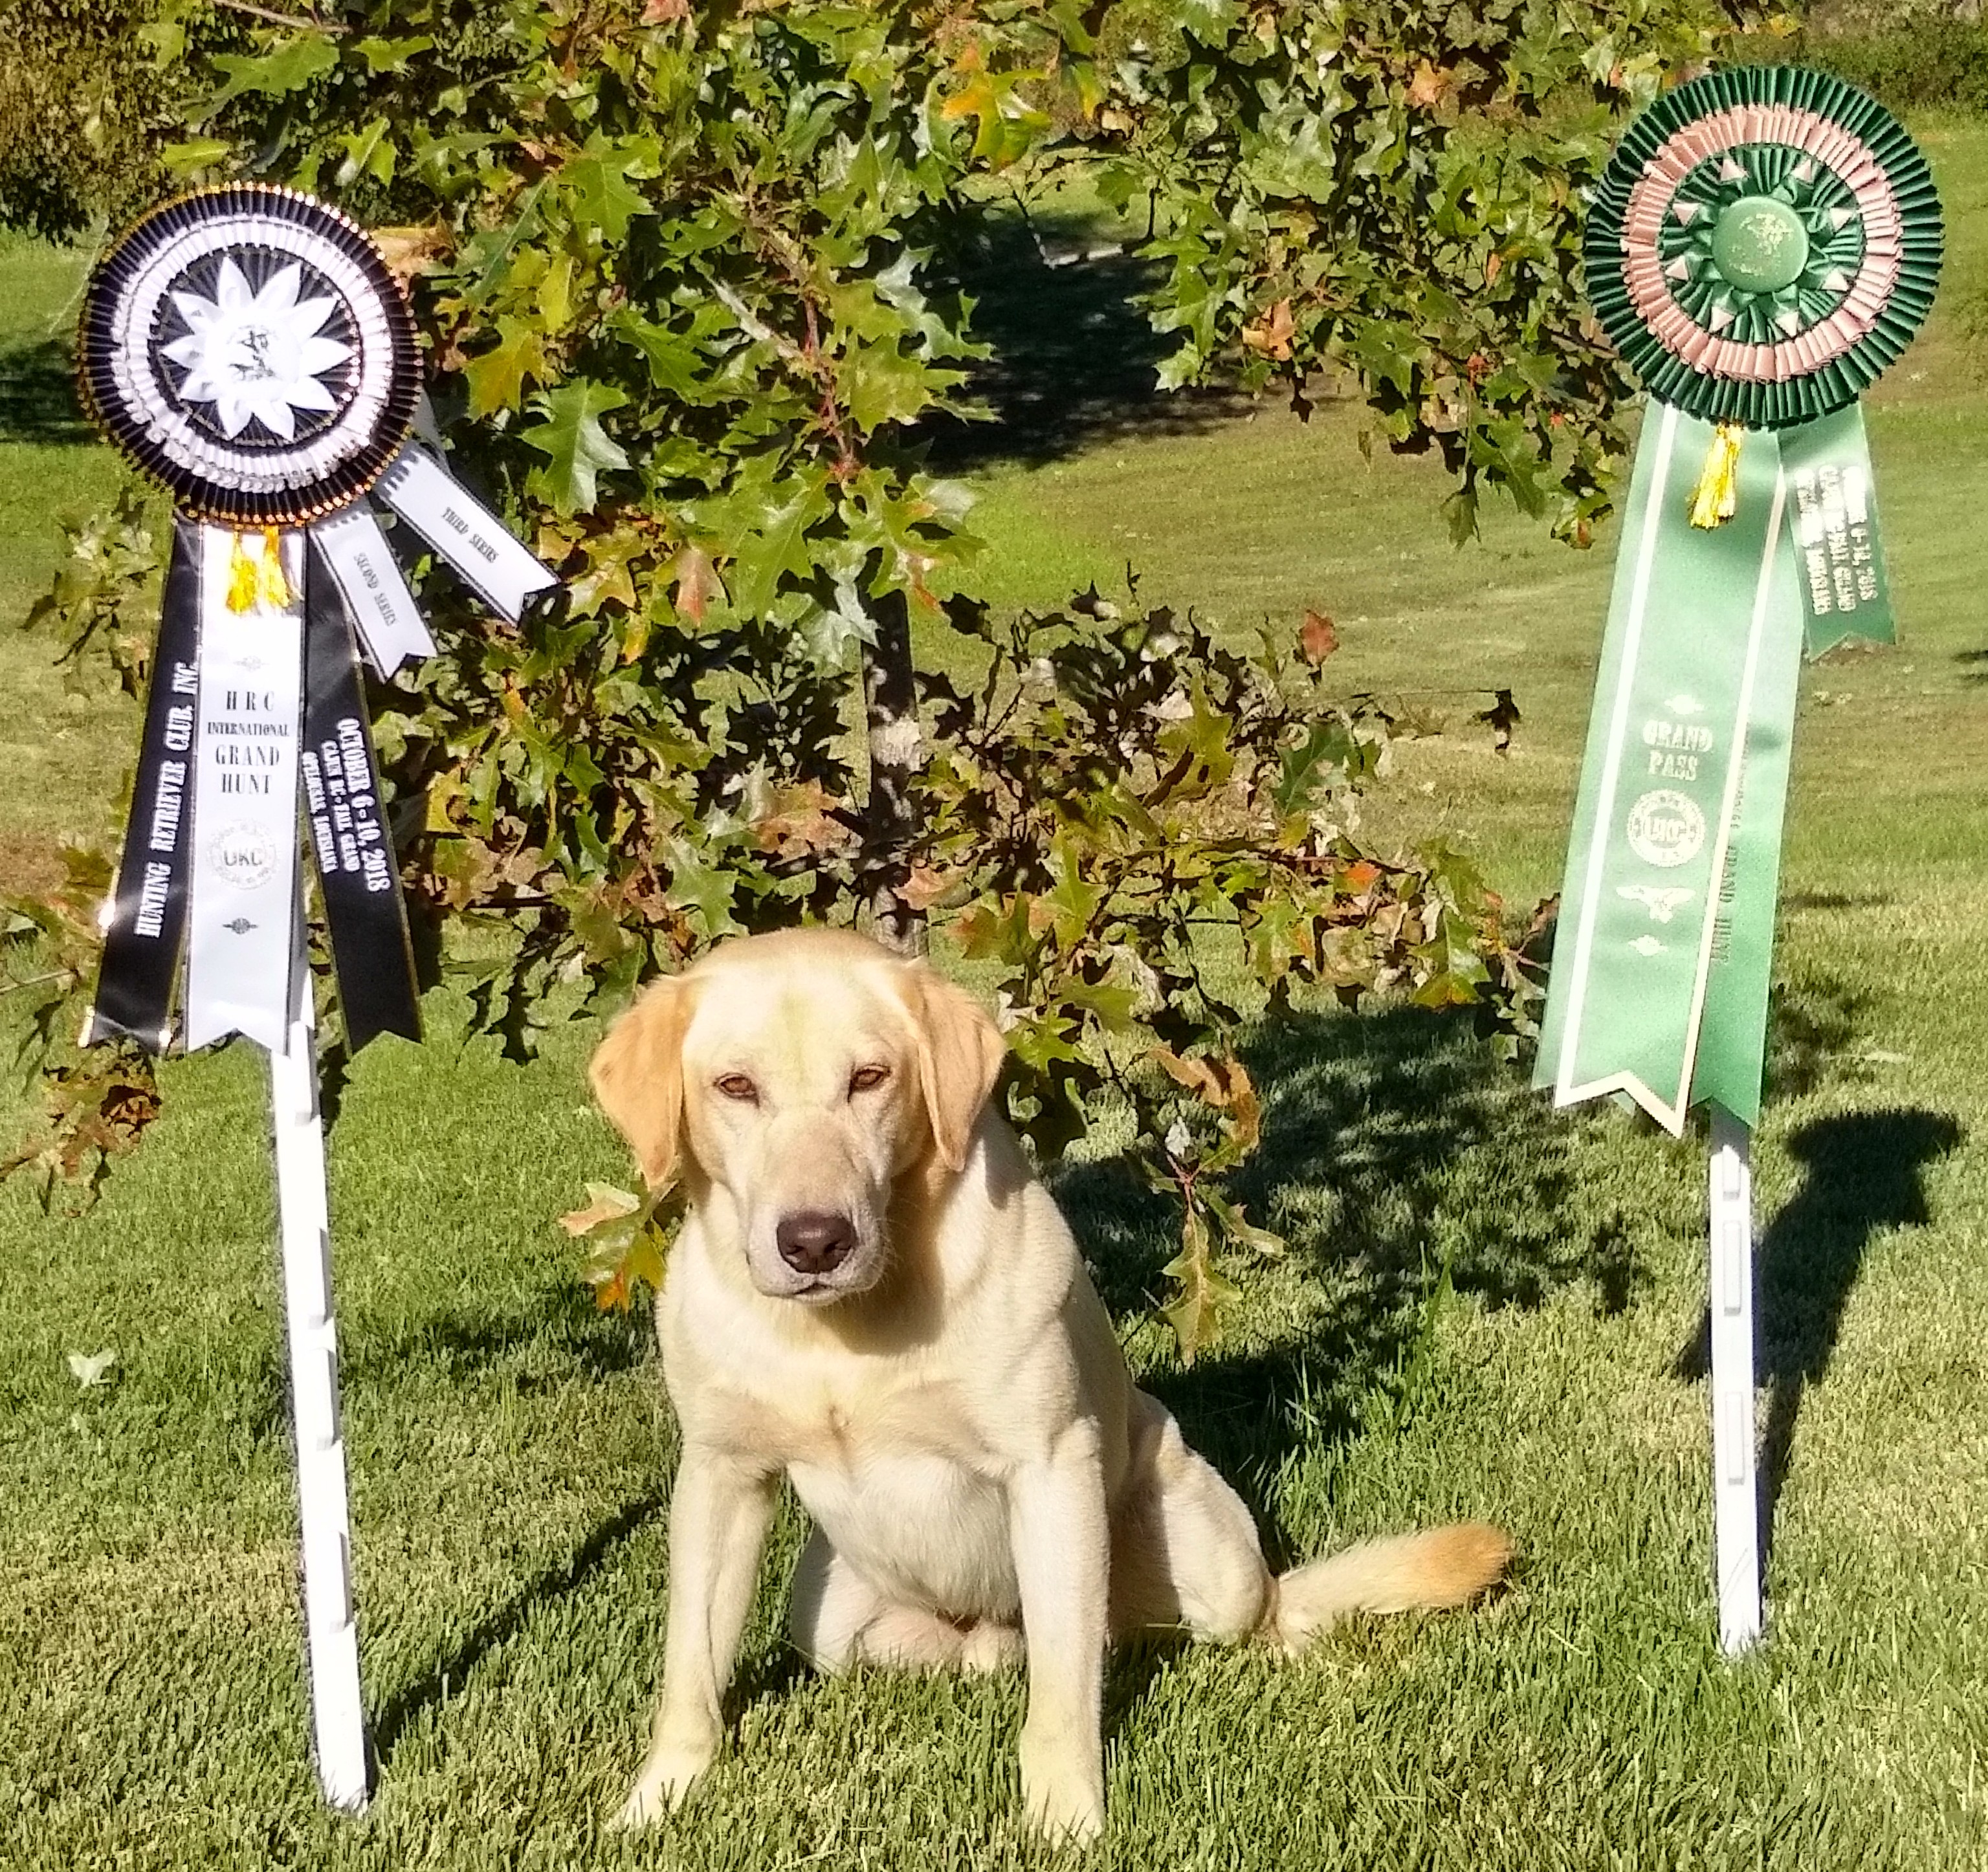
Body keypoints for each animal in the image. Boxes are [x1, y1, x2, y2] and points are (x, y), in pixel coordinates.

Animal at [588, 930, 1503, 1836]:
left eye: (870, 1078)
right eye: (735, 1087)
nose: (815, 1240)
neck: (846, 1327)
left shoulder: (1050, 1466)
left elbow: (1062, 1695)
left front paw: (1065, 1816)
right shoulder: (720, 1477)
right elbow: (690, 1668)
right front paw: (658, 1798)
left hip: (1212, 1569)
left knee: (1249, 1614)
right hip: (830, 1618)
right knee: (972, 1653)